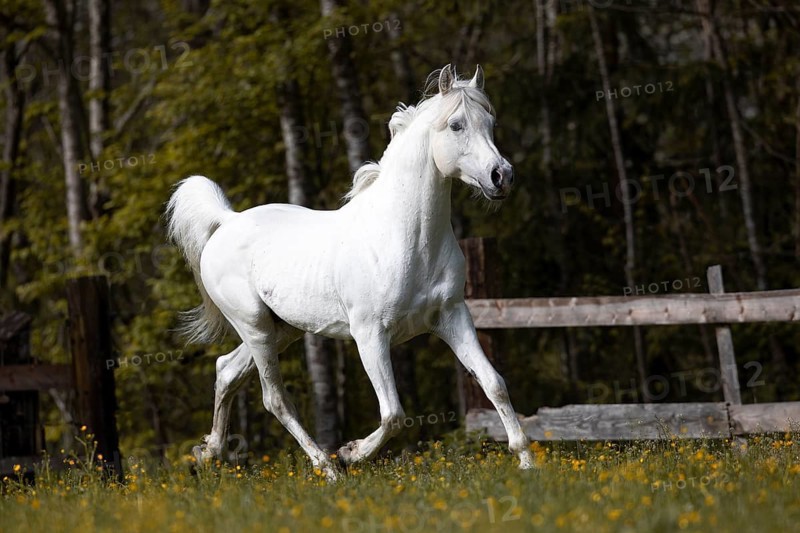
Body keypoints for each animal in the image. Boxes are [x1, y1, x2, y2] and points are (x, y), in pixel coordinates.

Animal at [166, 64, 533, 480]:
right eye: (456, 125)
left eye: (490, 122)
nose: (501, 176)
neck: (405, 238)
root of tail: (226, 222)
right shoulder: (370, 334)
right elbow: (393, 414)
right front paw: (351, 453)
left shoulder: (452, 317)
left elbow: (494, 383)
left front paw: (526, 461)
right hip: (255, 327)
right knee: (275, 398)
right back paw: (328, 468)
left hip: (282, 329)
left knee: (226, 370)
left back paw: (208, 453)